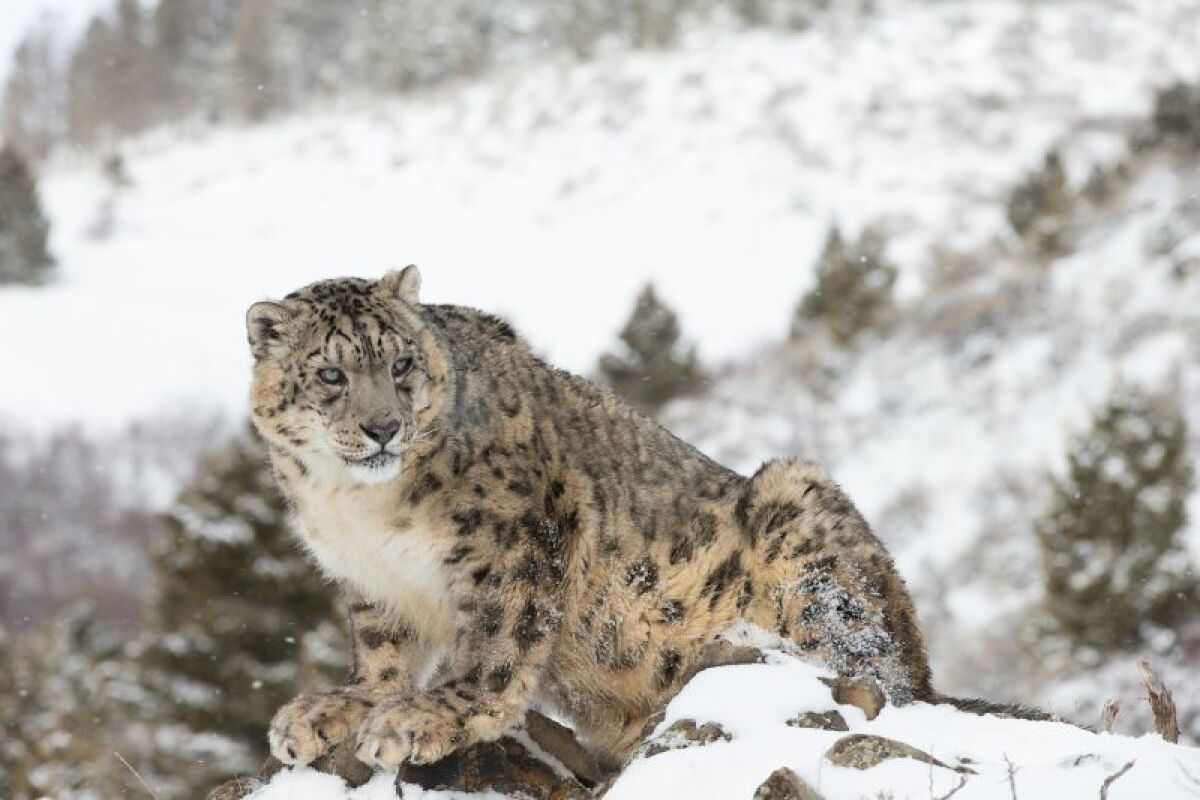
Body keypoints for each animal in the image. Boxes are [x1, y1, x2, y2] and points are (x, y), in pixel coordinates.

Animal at [245, 266, 1025, 779]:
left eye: (403, 363)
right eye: (331, 375)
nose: (383, 427)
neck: (360, 508)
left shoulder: (516, 540)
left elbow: (497, 643)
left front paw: (425, 717)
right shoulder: (372, 582)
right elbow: (381, 654)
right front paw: (335, 710)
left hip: (804, 517)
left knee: (870, 670)